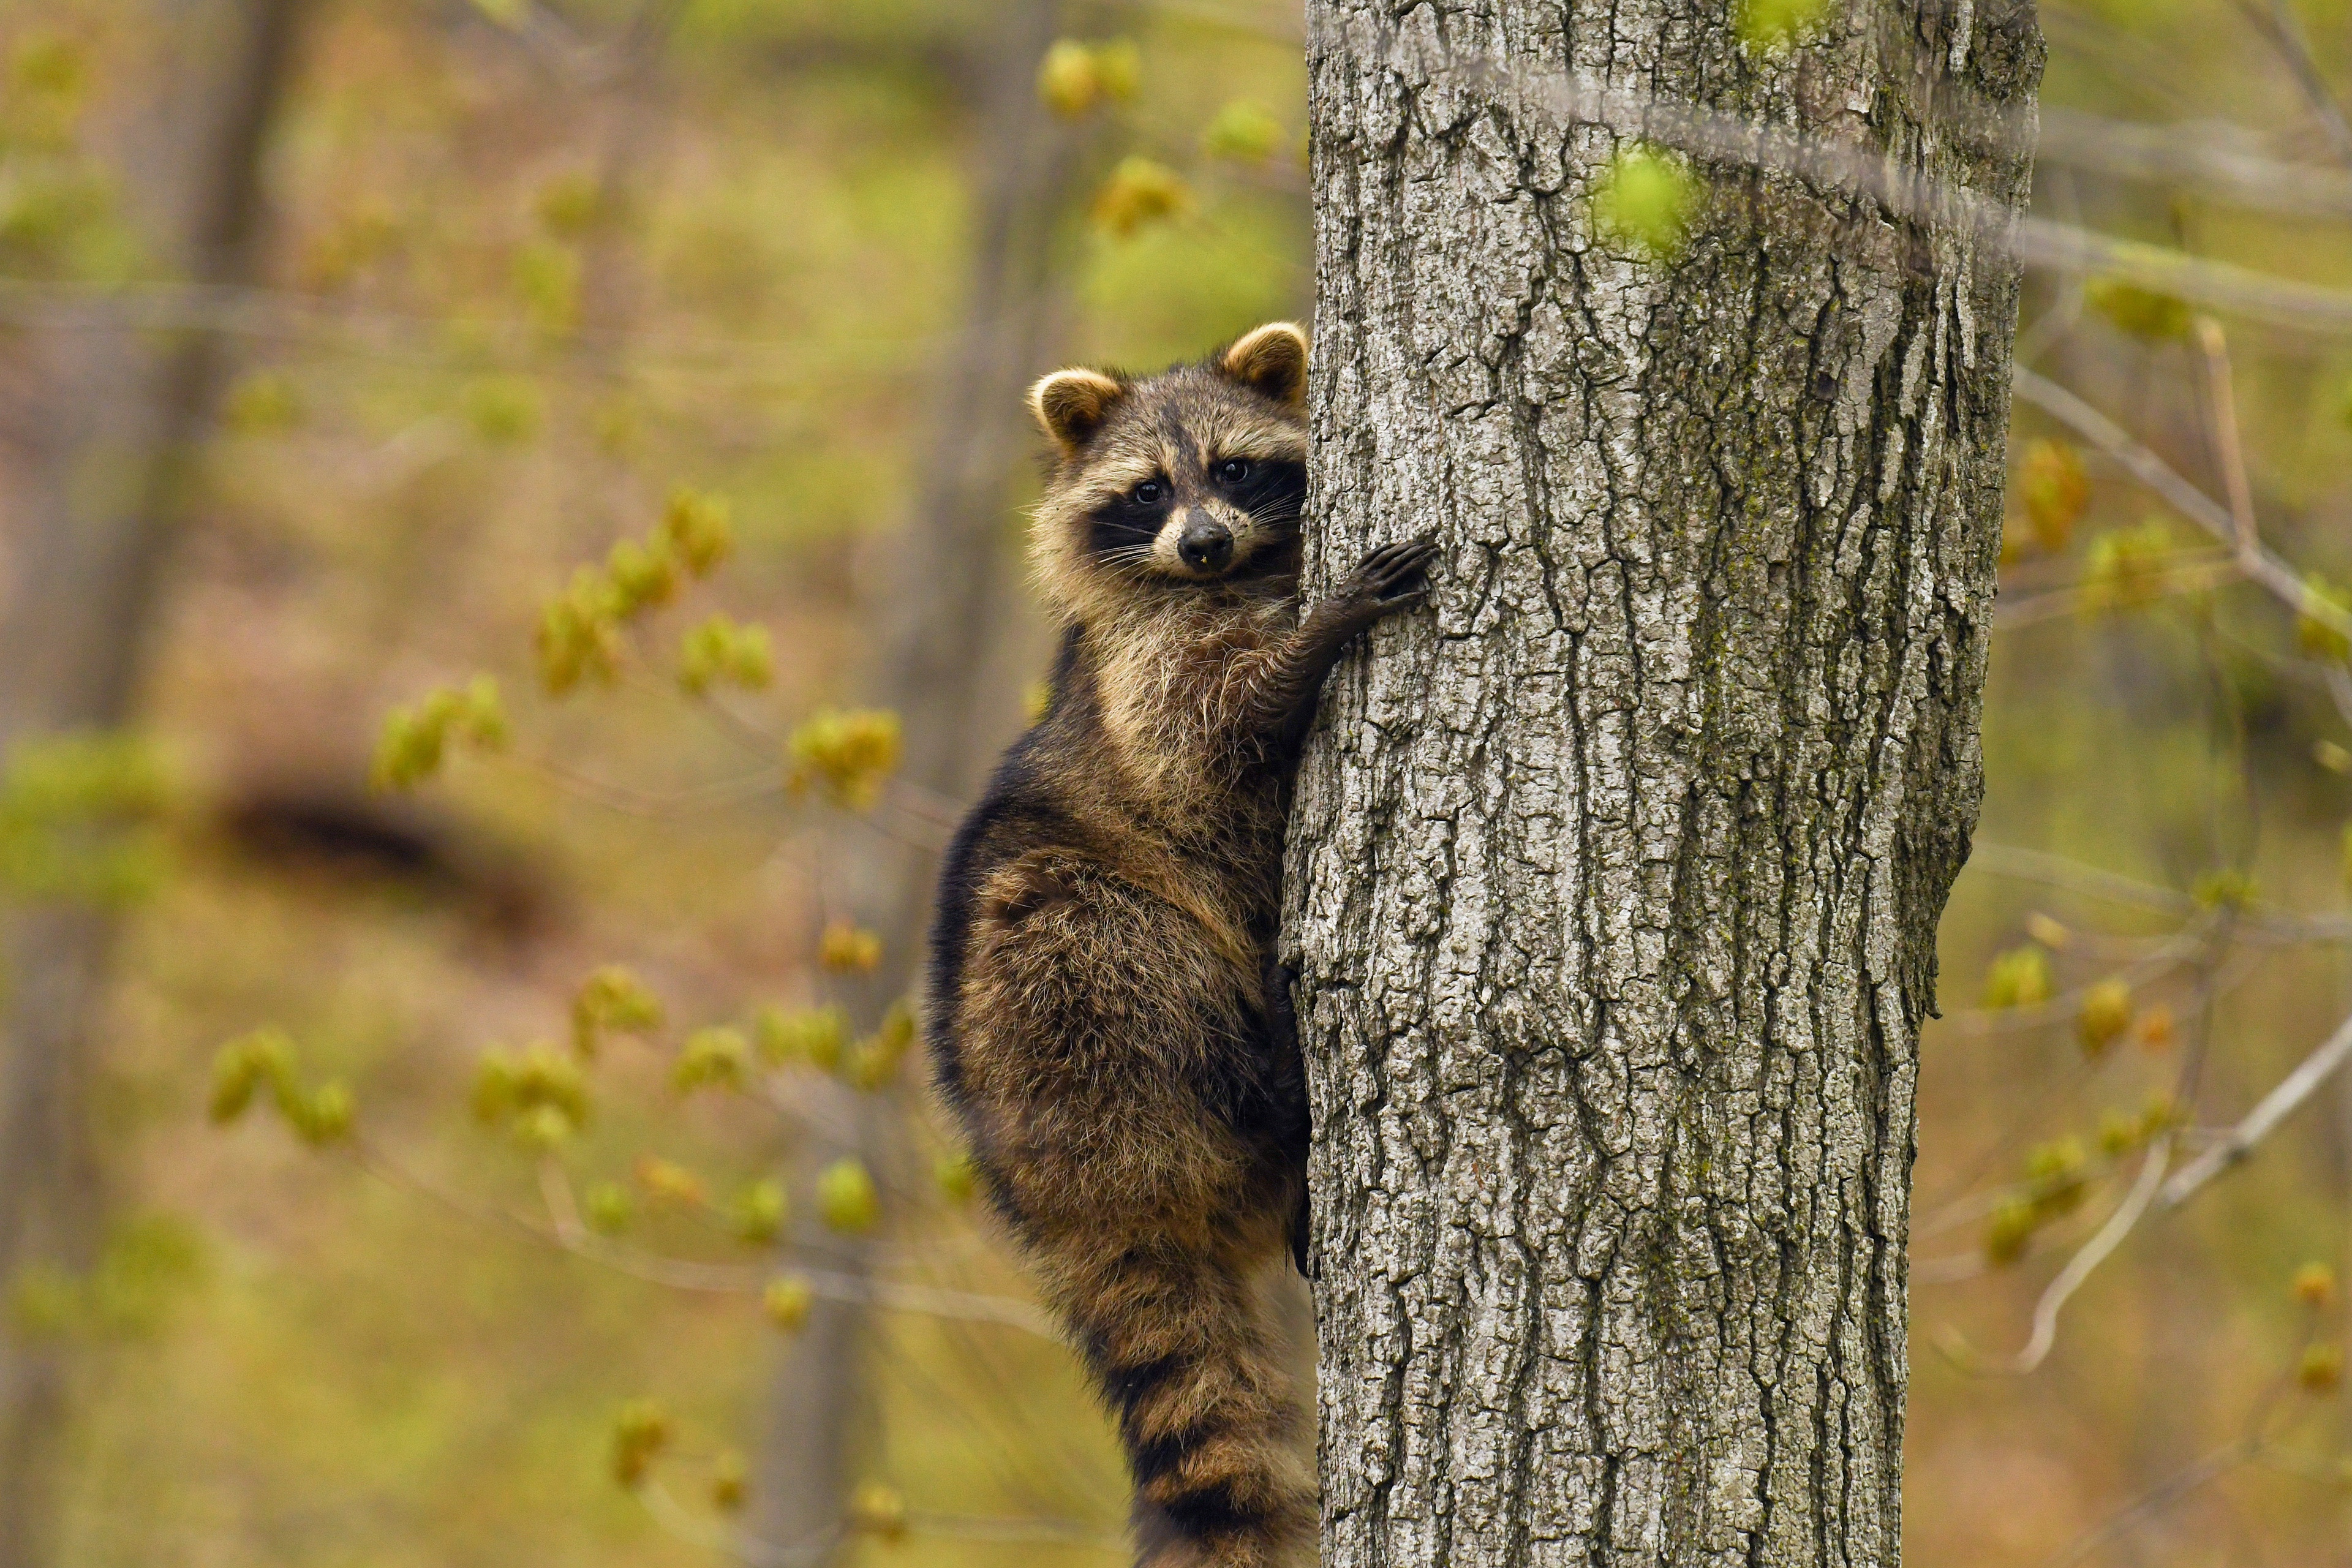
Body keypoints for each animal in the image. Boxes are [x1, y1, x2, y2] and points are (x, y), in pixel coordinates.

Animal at [917, 322, 1430, 1568]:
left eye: (1235, 469)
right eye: (1148, 489)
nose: (1202, 542)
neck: (1230, 578)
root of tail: (1071, 1208)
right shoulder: (1142, 662)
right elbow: (1209, 733)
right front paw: (1319, 635)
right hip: (1050, 1002)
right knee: (1111, 943)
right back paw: (1275, 1081)